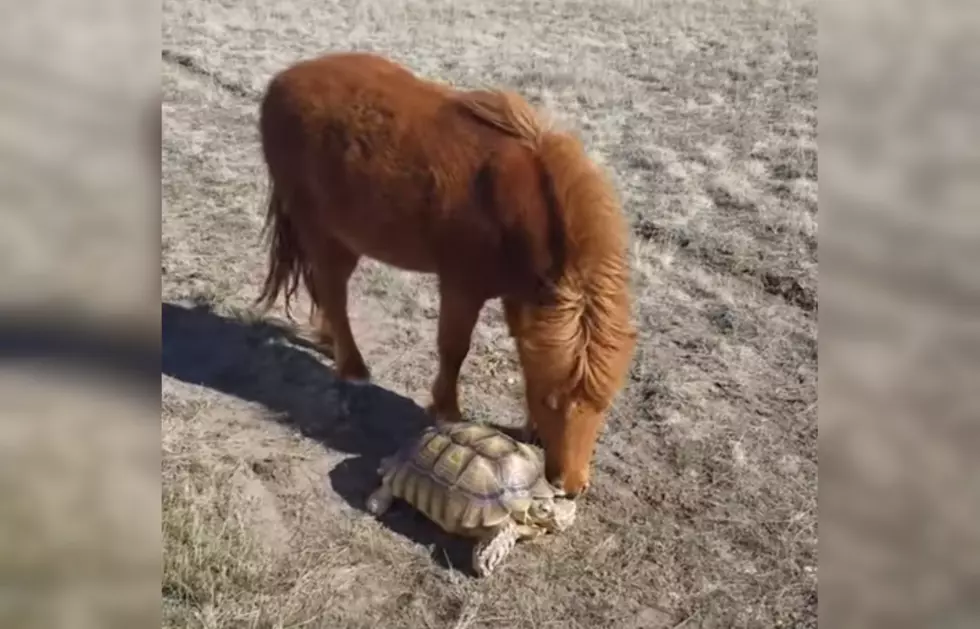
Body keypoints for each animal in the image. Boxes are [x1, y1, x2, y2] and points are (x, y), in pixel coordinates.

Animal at [255, 51, 636, 498]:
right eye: (551, 402)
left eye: (602, 405)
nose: (570, 485)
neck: (518, 206)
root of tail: (281, 82)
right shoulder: (462, 287)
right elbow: (454, 349)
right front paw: (447, 411)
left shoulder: (522, 298)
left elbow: (530, 355)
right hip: (325, 233)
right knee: (333, 291)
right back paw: (352, 367)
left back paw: (328, 339)